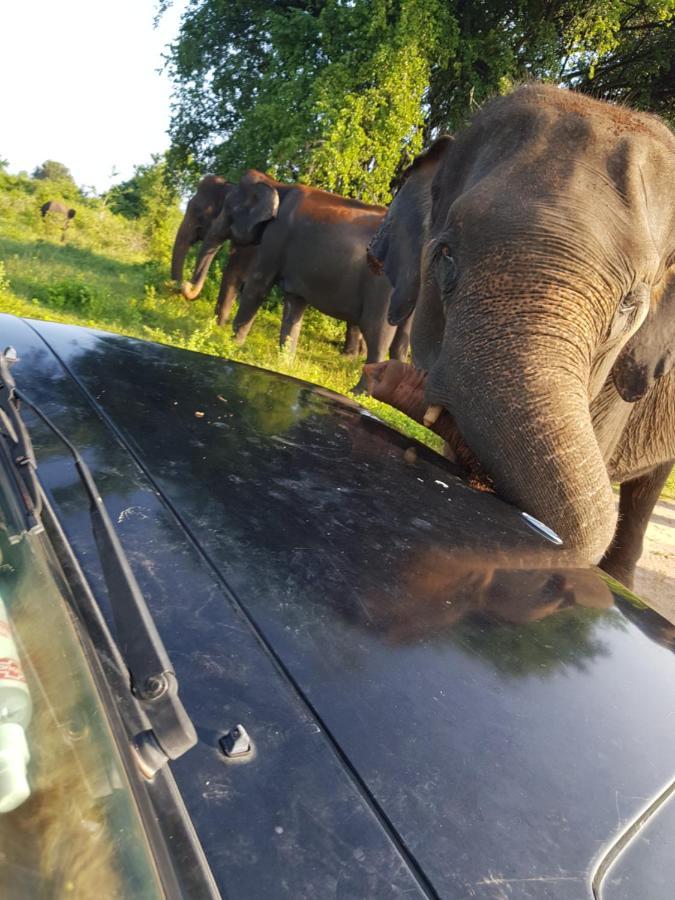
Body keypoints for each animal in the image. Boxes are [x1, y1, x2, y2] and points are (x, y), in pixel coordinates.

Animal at [187, 171, 414, 388]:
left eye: (228, 211)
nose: (187, 286)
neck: (277, 186)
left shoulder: (275, 236)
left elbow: (258, 286)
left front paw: (233, 345)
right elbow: (294, 305)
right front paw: (284, 365)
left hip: (382, 286)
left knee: (377, 333)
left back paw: (358, 392)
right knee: (401, 339)